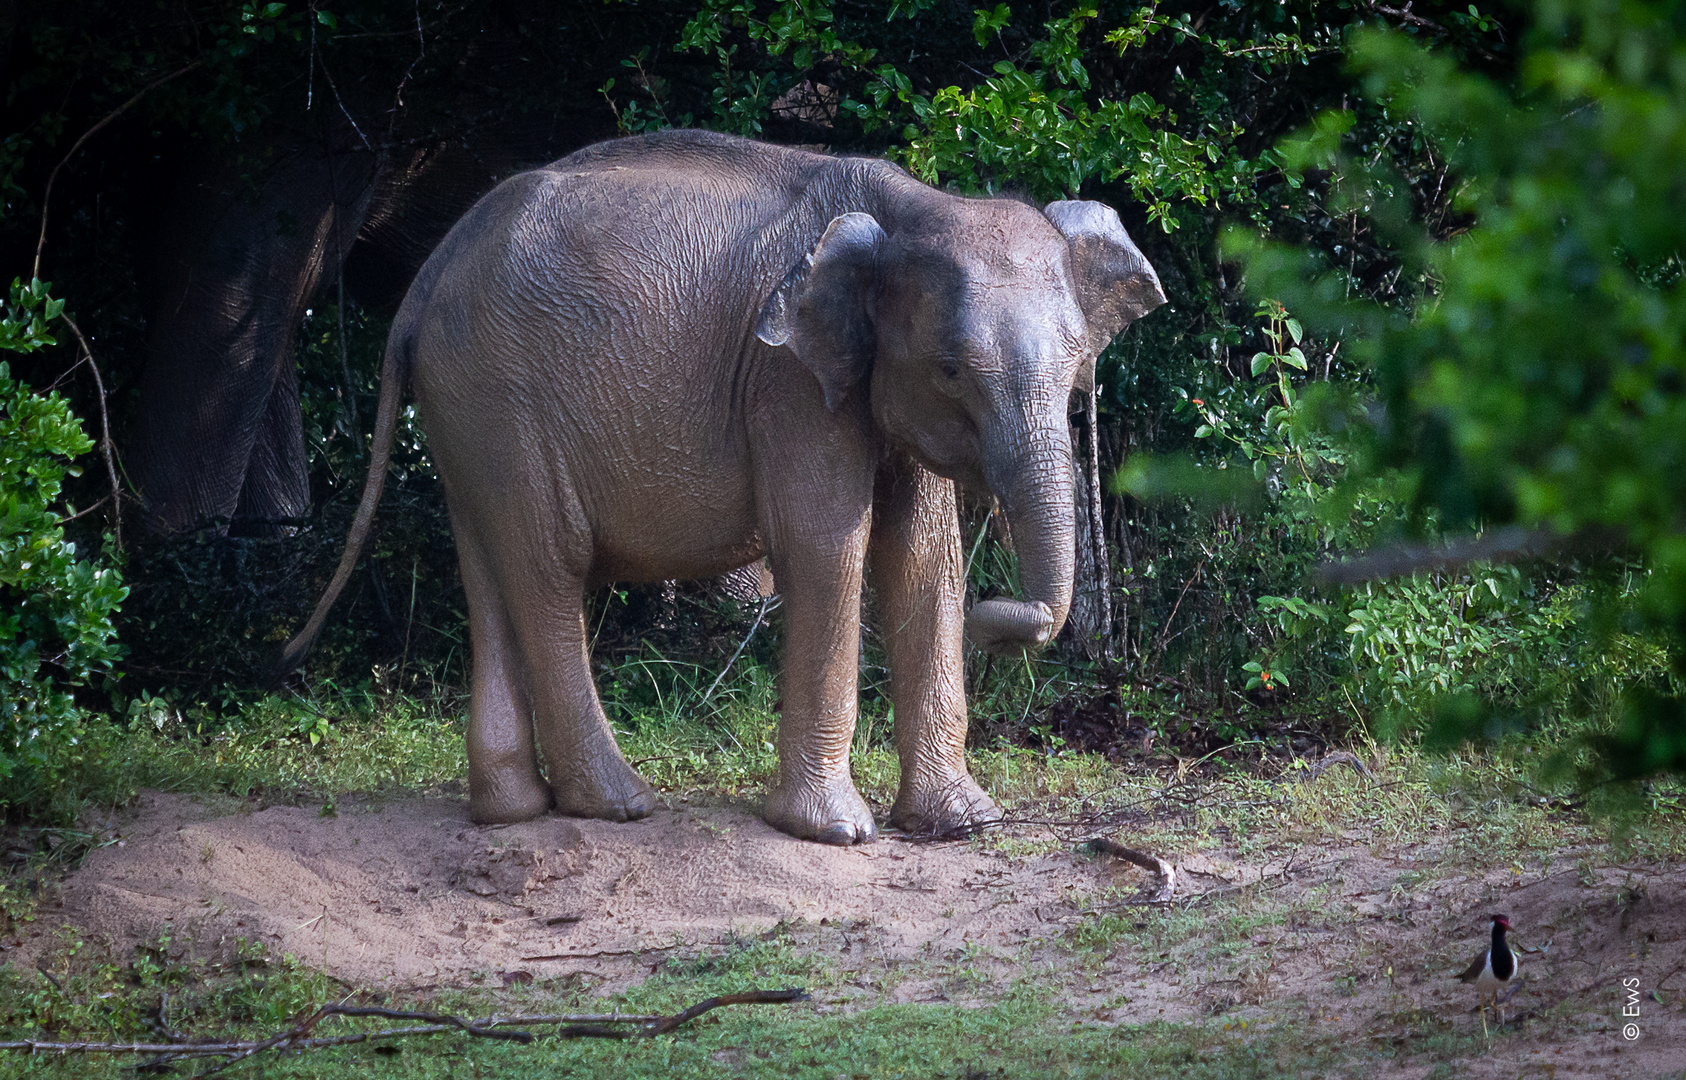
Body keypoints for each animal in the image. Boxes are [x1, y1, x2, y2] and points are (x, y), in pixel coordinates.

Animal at [283, 130, 1166, 842]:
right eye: (951, 369)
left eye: (1079, 364)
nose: (1000, 617)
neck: (912, 205)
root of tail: (421, 286)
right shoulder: (785, 379)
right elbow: (828, 546)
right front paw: (835, 833)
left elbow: (924, 557)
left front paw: (964, 824)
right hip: (499, 399)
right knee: (547, 567)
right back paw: (617, 805)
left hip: (465, 411)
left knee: (489, 570)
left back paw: (513, 812)